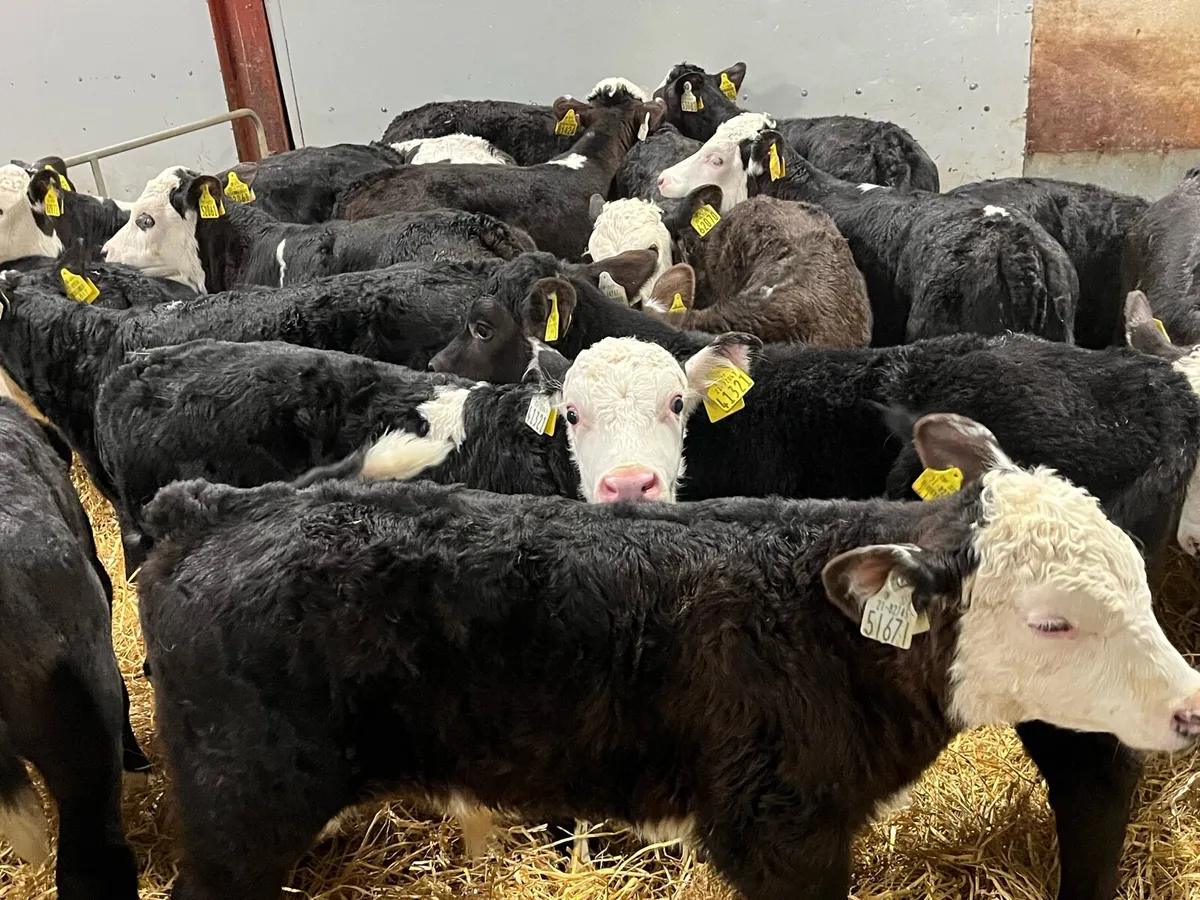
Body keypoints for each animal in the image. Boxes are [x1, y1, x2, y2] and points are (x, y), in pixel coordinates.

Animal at [137, 413, 1200, 900]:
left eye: (1137, 580)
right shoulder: (782, 830)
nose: (1193, 706)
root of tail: (215, 505)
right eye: (1053, 622)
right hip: (242, 803)